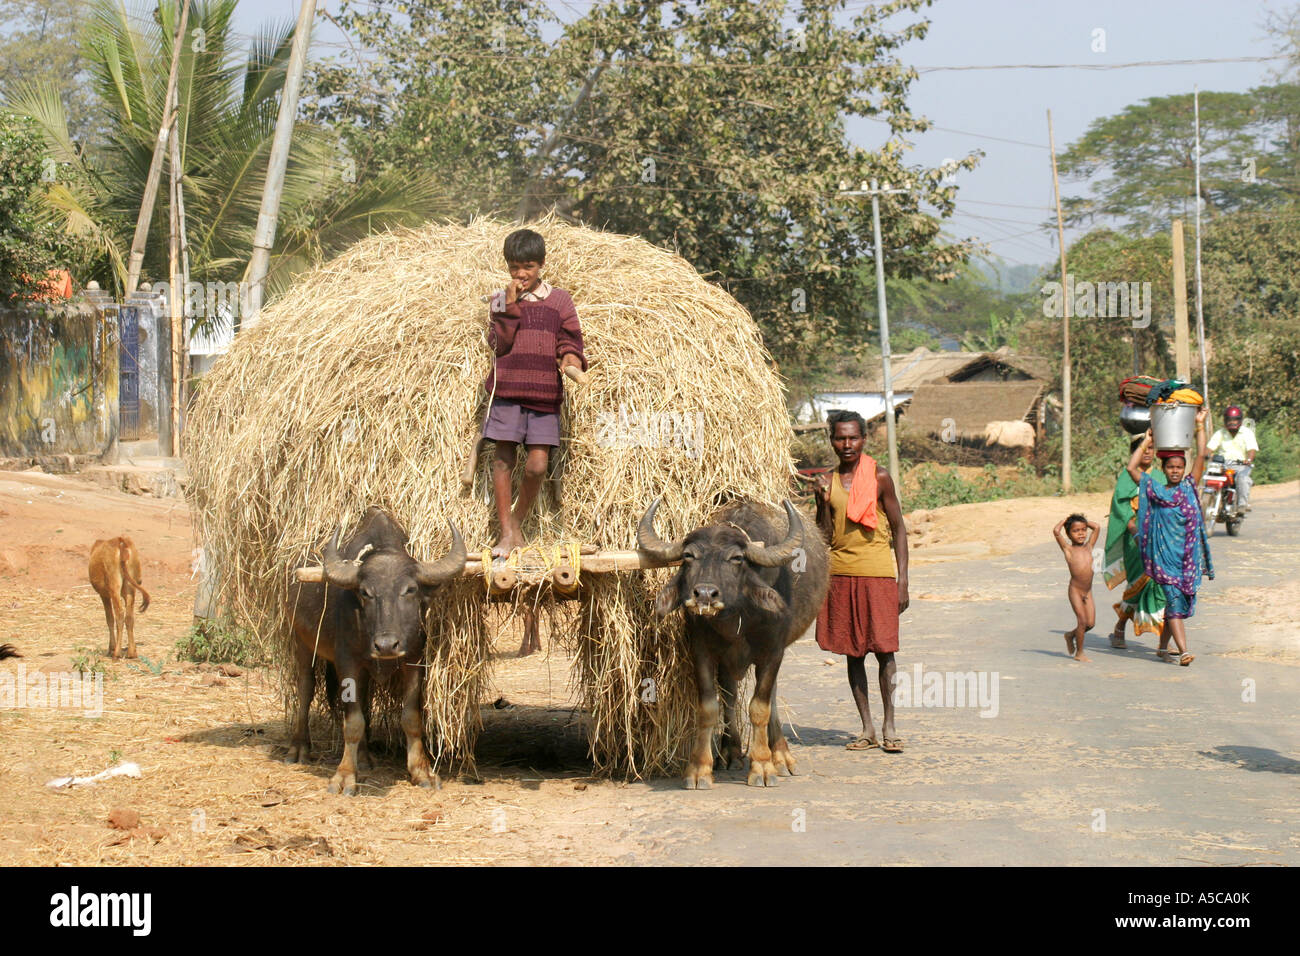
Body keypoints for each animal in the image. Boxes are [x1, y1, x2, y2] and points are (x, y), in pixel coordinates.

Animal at [289, 512, 467, 796]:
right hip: (301, 640)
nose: (385, 645)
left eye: (410, 590)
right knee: (306, 688)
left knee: (363, 699)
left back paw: (364, 757)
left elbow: (411, 717)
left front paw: (422, 771)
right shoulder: (347, 662)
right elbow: (352, 722)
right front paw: (344, 776)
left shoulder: (414, 659)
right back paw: (299, 748)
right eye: (365, 592)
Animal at [639, 496, 832, 790]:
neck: (736, 620)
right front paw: (700, 769)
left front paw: (762, 766)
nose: (704, 594)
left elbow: (760, 707)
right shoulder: (702, 651)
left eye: (736, 559)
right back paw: (730, 752)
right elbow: (709, 707)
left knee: (770, 697)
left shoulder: (773, 652)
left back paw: (781, 756)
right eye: (689, 556)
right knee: (729, 696)